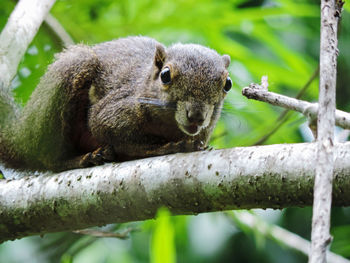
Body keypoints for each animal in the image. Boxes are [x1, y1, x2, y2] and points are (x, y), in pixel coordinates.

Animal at [0, 37, 231, 173]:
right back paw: (83, 159)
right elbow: (121, 137)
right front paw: (172, 146)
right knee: (49, 159)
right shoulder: (111, 114)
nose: (197, 116)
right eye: (165, 75)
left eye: (227, 84)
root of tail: (20, 136)